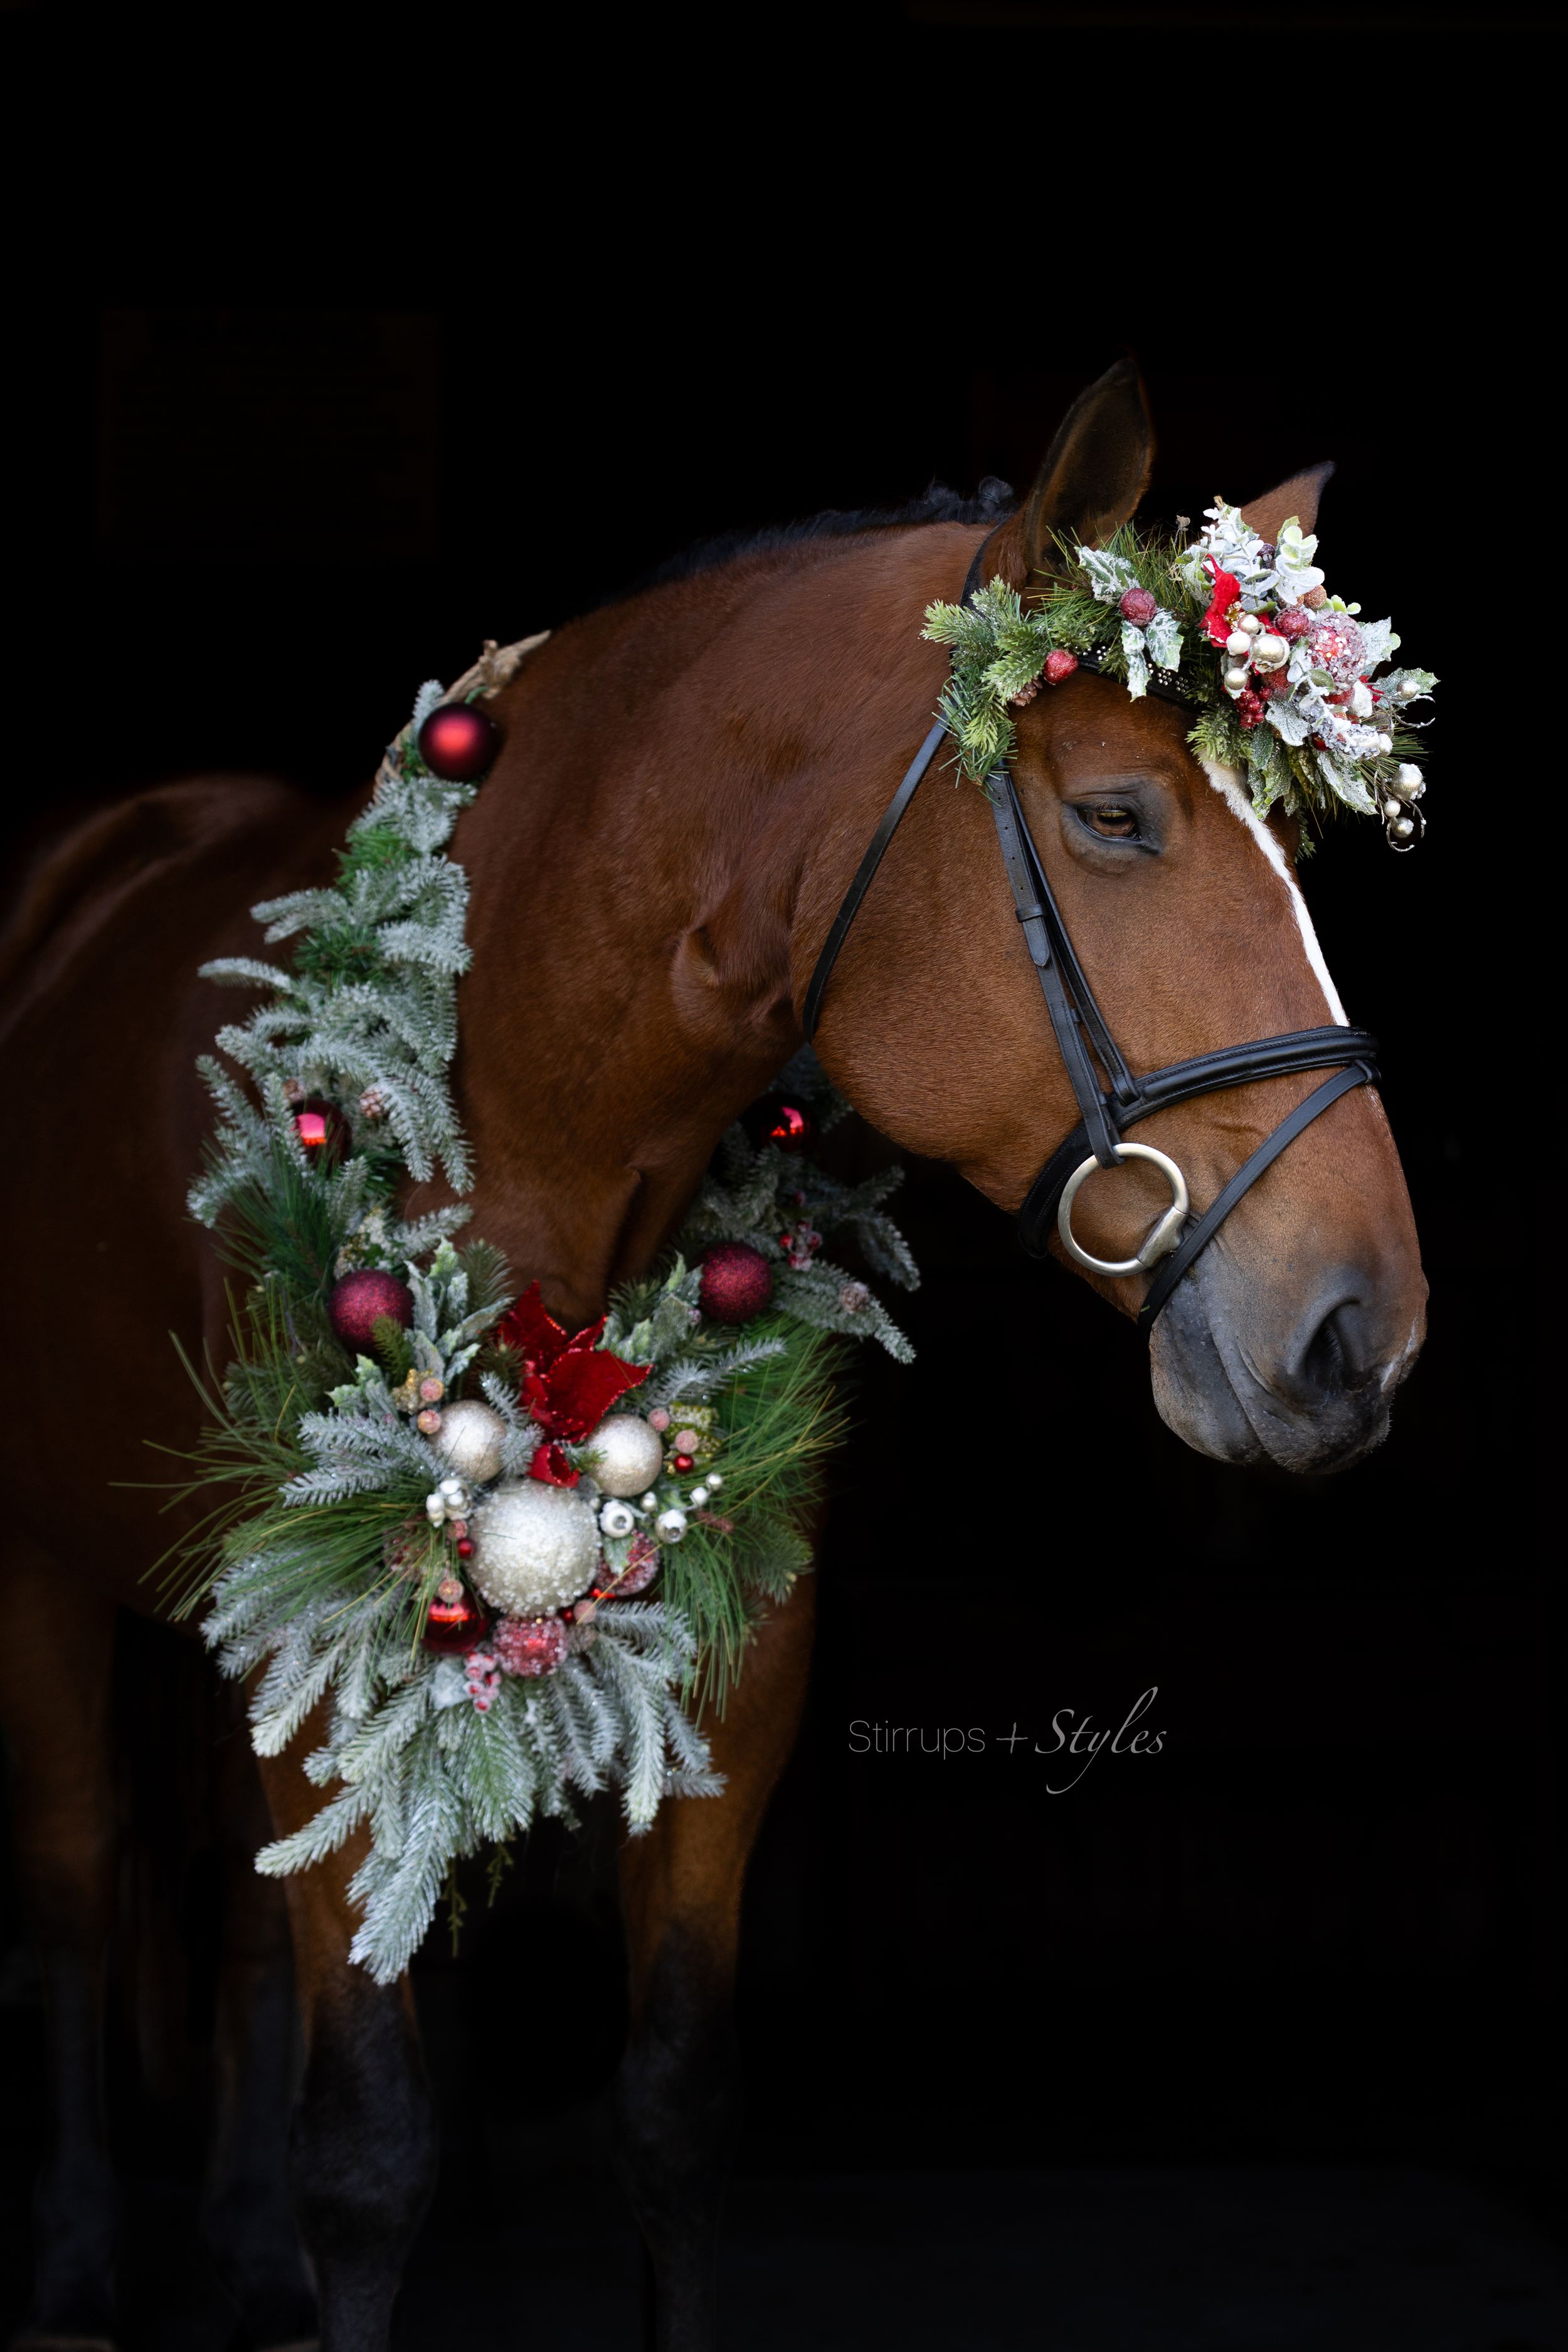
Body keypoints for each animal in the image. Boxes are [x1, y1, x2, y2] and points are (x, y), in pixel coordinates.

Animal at [0, 359, 1426, 2351]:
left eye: (1293, 848)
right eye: (1117, 816)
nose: (1363, 1327)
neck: (498, 1088)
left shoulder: (741, 1666)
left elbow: (674, 2114)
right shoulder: (322, 1640)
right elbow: (365, 2143)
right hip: (52, 1570)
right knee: (71, 1884)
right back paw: (69, 2263)